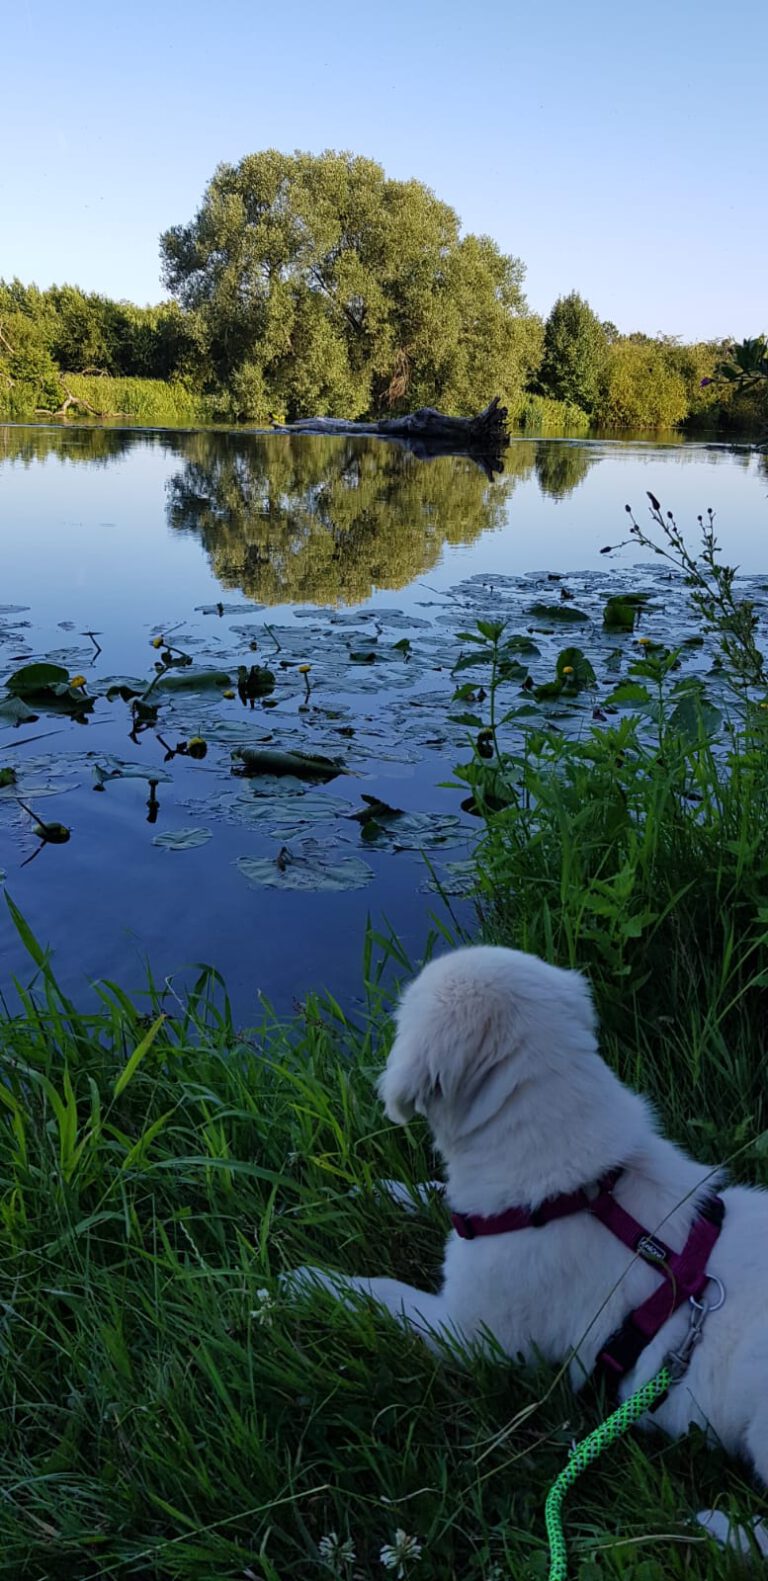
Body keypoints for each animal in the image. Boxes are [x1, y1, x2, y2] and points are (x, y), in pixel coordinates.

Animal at [289, 942, 768, 1498]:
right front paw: (369, 1191)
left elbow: (384, 1296)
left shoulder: (472, 1335)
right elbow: (434, 1196)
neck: (582, 1191)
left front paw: (307, 1283)